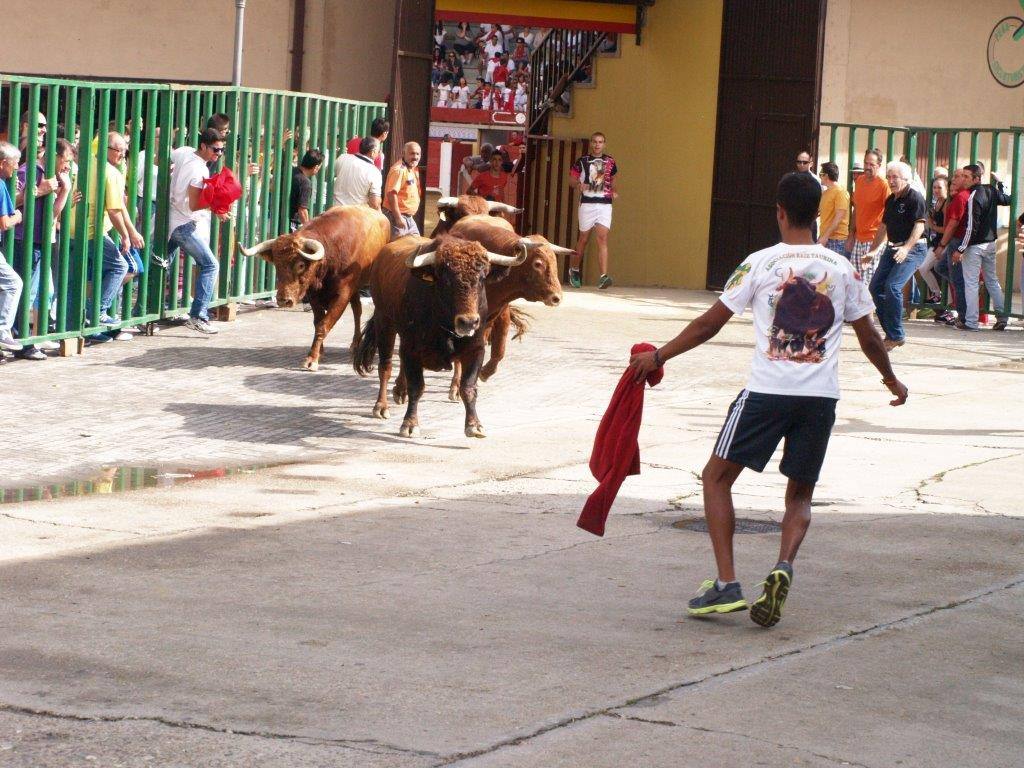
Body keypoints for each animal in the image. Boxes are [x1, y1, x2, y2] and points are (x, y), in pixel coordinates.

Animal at [237, 204, 389, 372]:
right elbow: (317, 322)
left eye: (301, 265)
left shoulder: (342, 294)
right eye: (276, 264)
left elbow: (323, 325)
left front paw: (312, 359)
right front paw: (319, 351)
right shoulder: (314, 296)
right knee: (357, 309)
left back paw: (357, 344)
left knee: (359, 310)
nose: (283, 300)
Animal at [354, 234, 528, 438]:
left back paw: (399, 391)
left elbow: (468, 387)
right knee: (385, 367)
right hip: (384, 323)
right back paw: (381, 406)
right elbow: (416, 387)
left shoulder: (476, 349)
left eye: (482, 278)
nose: (468, 322)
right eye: (446, 280)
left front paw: (474, 425)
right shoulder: (411, 349)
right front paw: (409, 424)